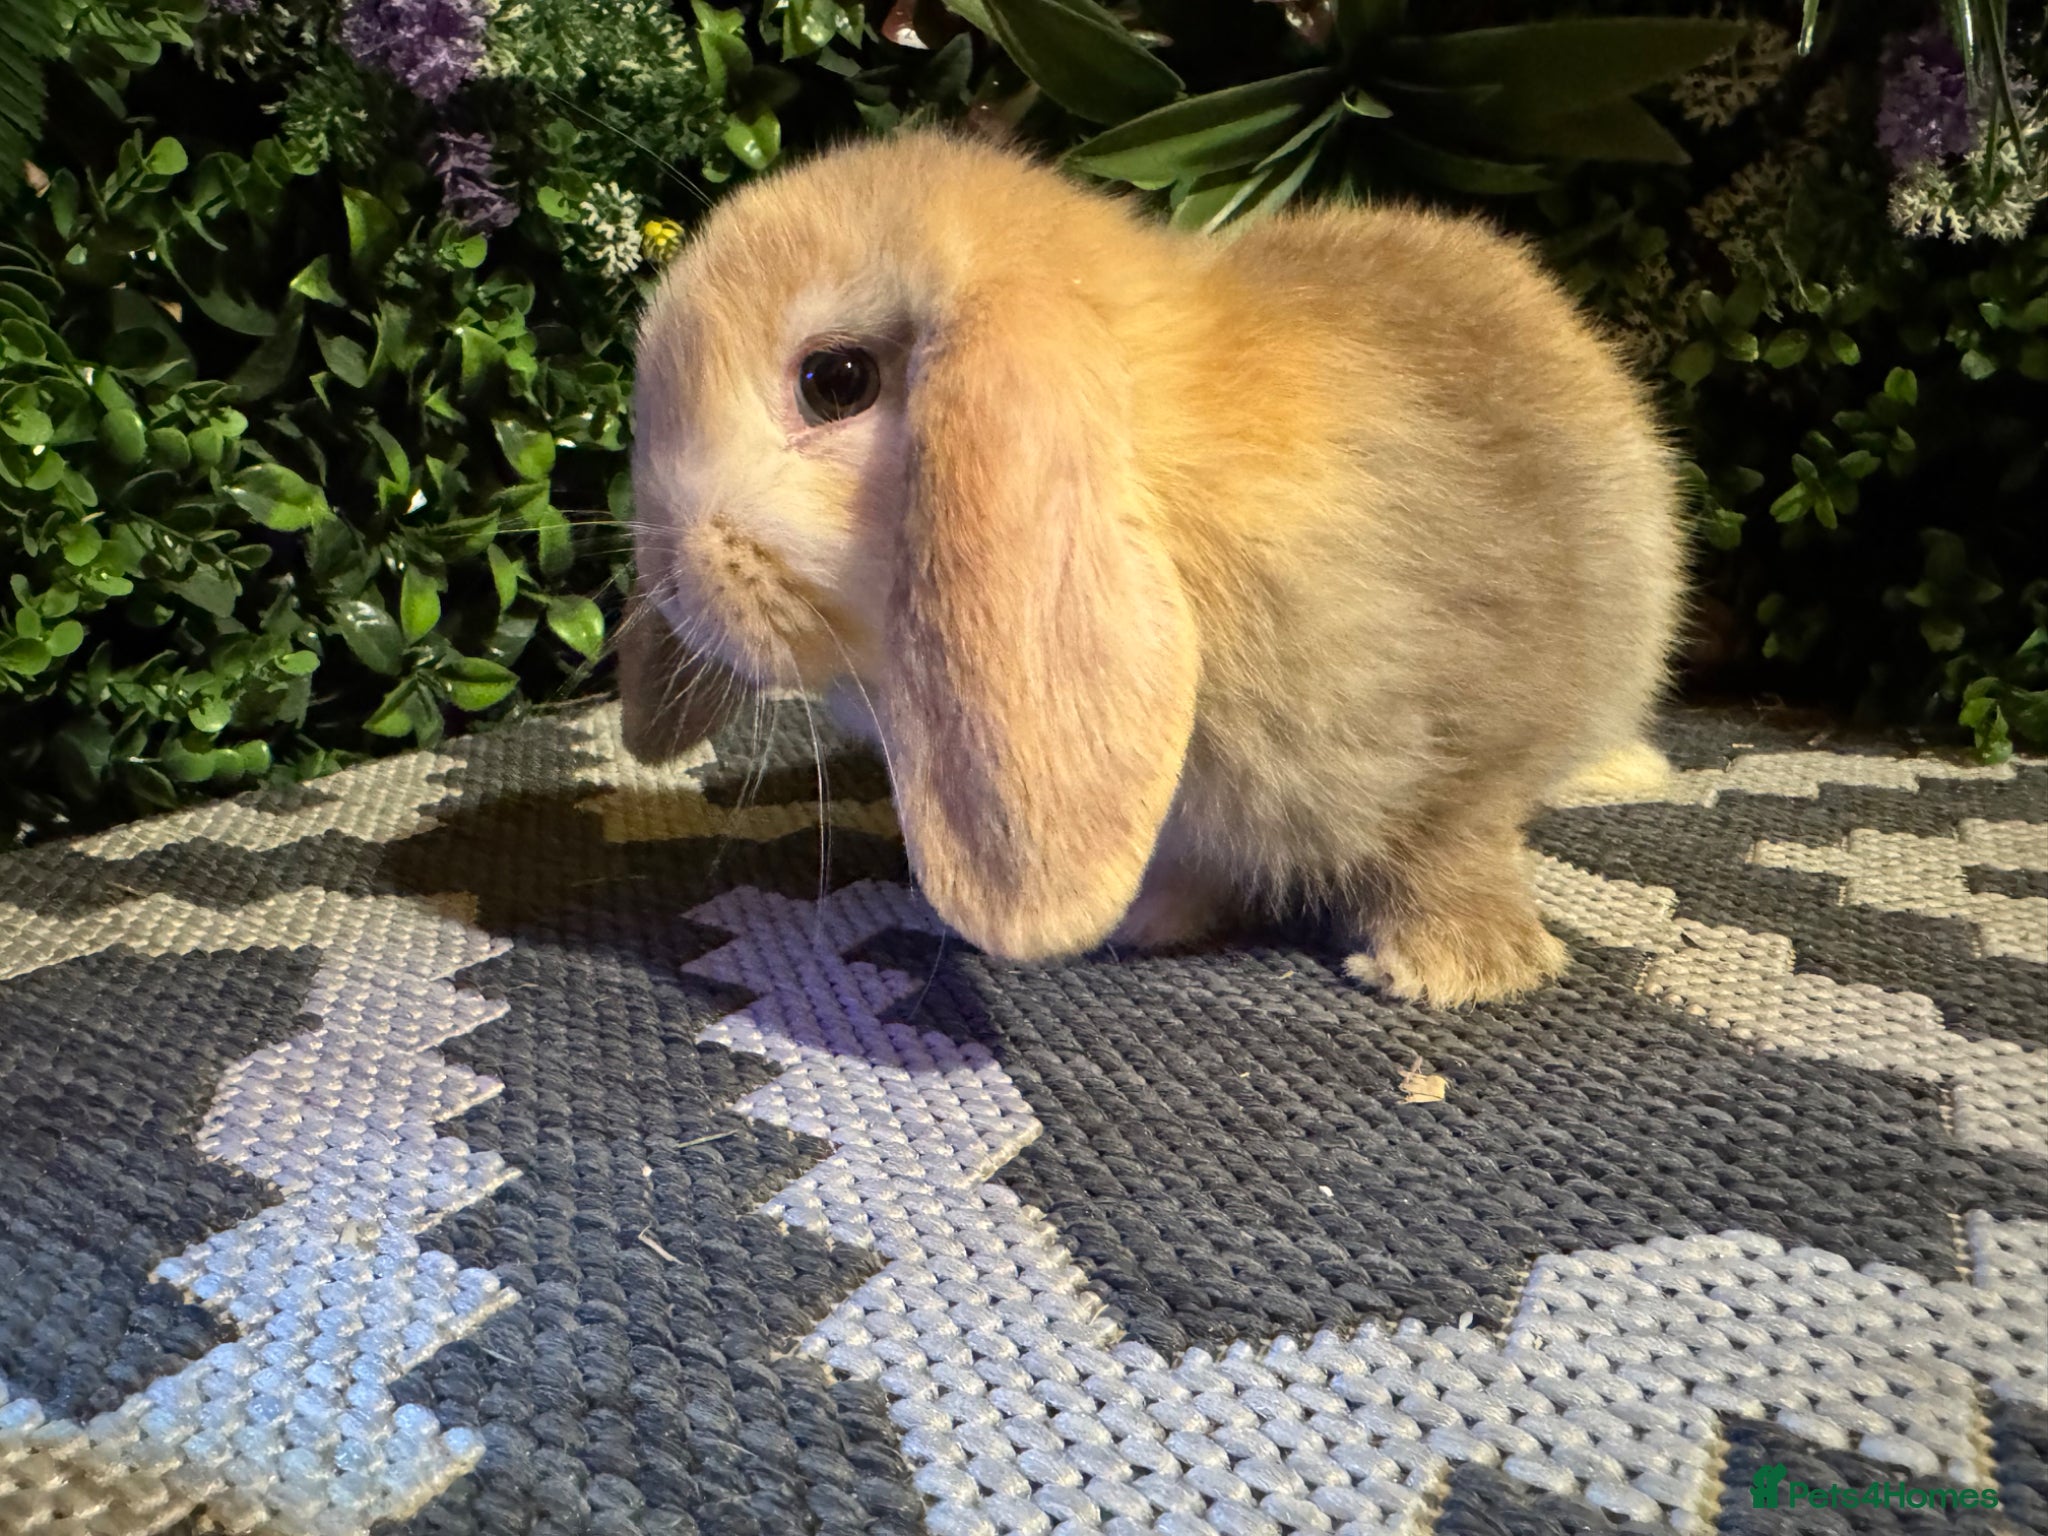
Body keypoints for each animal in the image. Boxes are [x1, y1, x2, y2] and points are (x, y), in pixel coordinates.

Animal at [620, 127, 1687, 1006]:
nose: (672, 577)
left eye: (835, 380)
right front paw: (1144, 923)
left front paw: (1456, 968)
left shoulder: (1468, 715)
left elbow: (1451, 833)